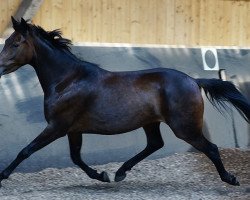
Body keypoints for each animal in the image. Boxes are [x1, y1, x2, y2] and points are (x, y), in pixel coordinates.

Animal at [0, 18, 250, 187]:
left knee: (211, 148)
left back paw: (230, 179)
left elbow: (26, 150)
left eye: (16, 43)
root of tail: (194, 80)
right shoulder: (72, 129)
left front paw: (3, 175)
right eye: (7, 42)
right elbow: (76, 157)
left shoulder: (57, 126)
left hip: (184, 127)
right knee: (155, 144)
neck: (67, 80)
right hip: (151, 122)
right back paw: (120, 172)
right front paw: (102, 175)